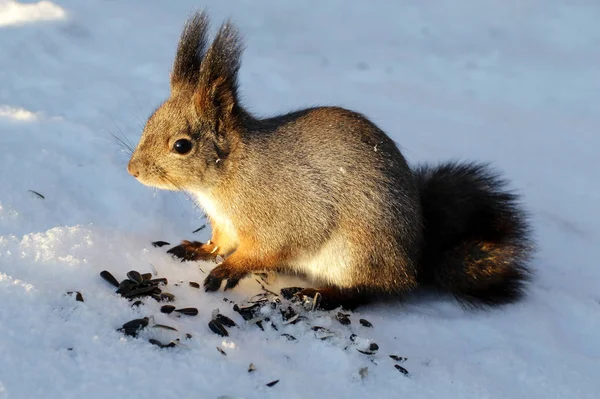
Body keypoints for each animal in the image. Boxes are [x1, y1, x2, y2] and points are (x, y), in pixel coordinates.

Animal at [126, 10, 536, 310]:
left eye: (182, 146)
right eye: (149, 121)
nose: (133, 171)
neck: (227, 177)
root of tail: (414, 262)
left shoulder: (284, 215)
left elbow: (268, 249)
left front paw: (228, 270)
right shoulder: (226, 224)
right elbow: (221, 241)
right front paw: (199, 250)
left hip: (358, 252)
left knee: (367, 292)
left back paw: (319, 294)